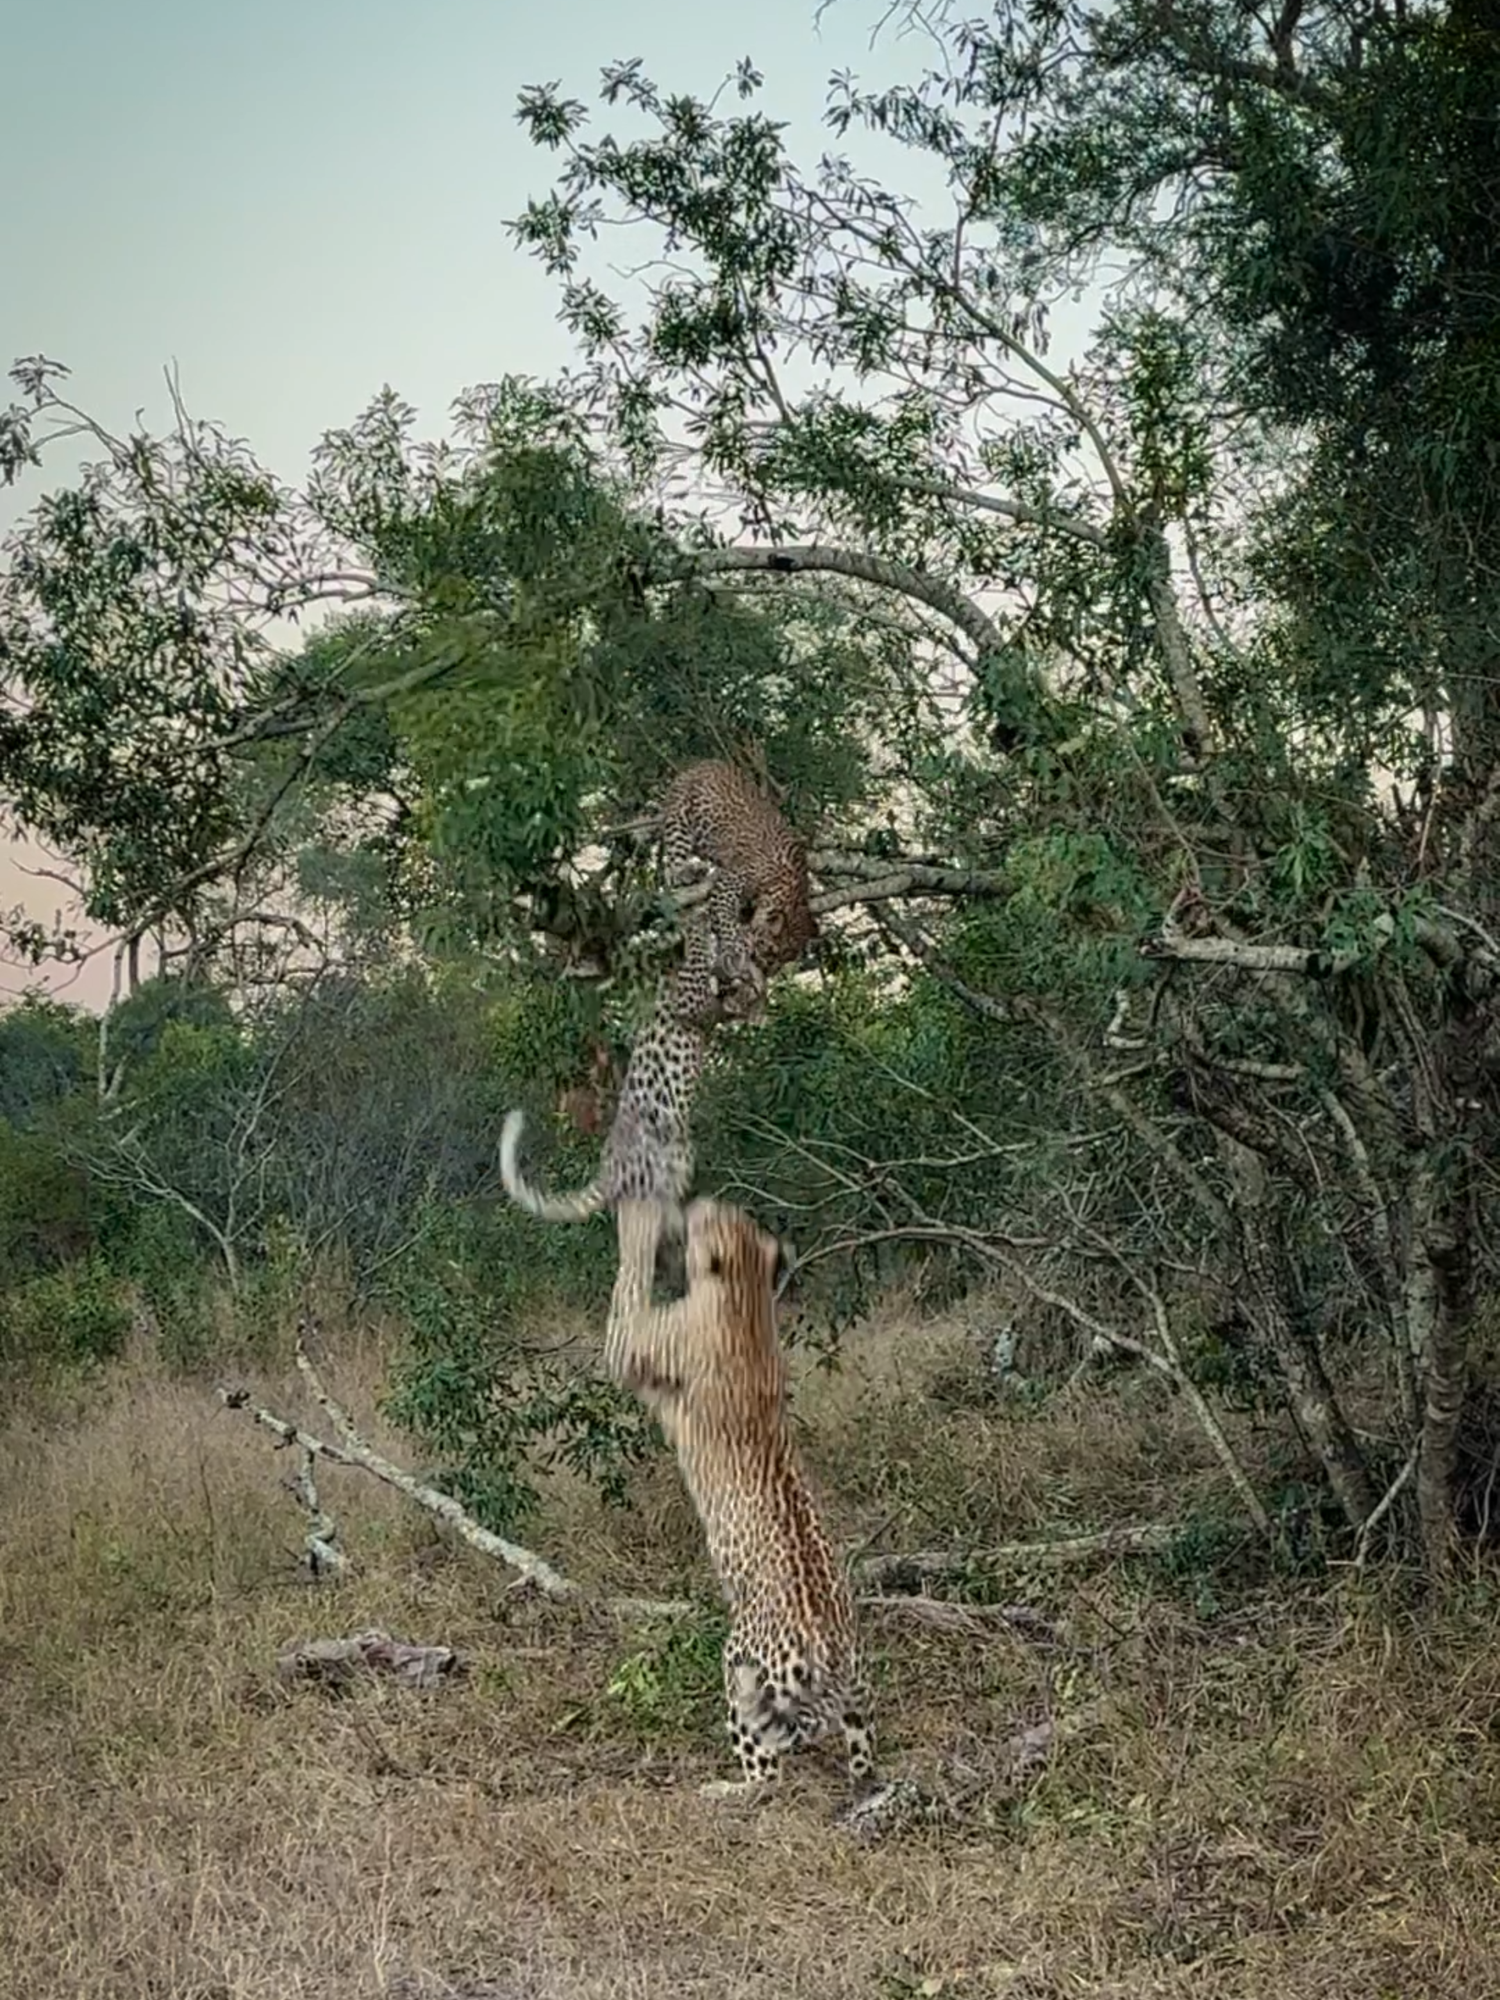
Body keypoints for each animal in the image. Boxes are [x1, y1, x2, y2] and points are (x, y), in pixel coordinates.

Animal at [605, 1193, 875, 1801]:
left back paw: (725, 1790)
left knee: (767, 1773)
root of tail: (829, 1655)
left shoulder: (630, 1347)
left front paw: (639, 1213)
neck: (746, 1294)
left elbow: (628, 1282)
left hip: (740, 1664)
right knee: (863, 1752)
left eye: (709, 1219)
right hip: (858, 1693)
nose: (698, 1202)